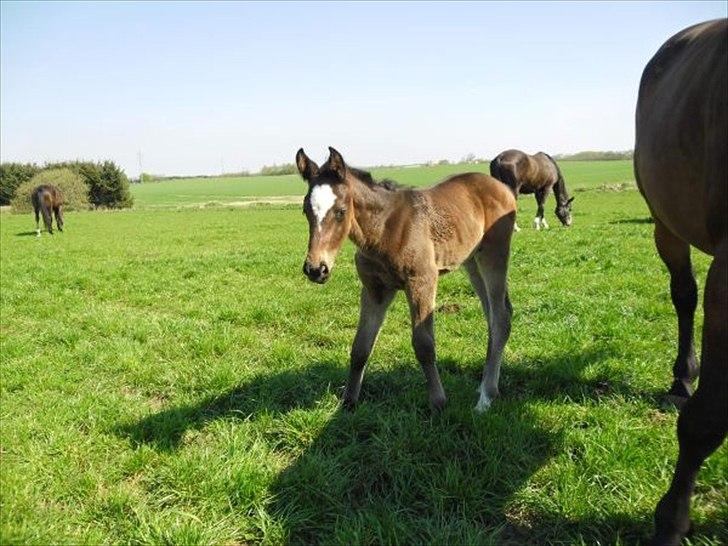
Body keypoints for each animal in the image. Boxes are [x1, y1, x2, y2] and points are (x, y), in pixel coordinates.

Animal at [296, 147, 516, 410]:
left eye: (341, 211)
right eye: (306, 211)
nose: (316, 269)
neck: (382, 231)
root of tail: (502, 187)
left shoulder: (422, 281)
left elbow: (424, 345)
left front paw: (438, 403)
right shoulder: (374, 290)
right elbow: (361, 347)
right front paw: (348, 403)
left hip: (494, 255)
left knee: (501, 316)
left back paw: (486, 397)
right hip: (471, 262)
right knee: (492, 314)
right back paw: (484, 387)